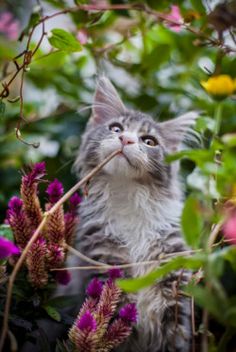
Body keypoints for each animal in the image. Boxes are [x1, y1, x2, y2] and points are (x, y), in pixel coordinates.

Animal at [72, 78, 197, 352]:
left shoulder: (174, 302)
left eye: (149, 141)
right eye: (116, 128)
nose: (126, 139)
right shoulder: (106, 273)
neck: (128, 195)